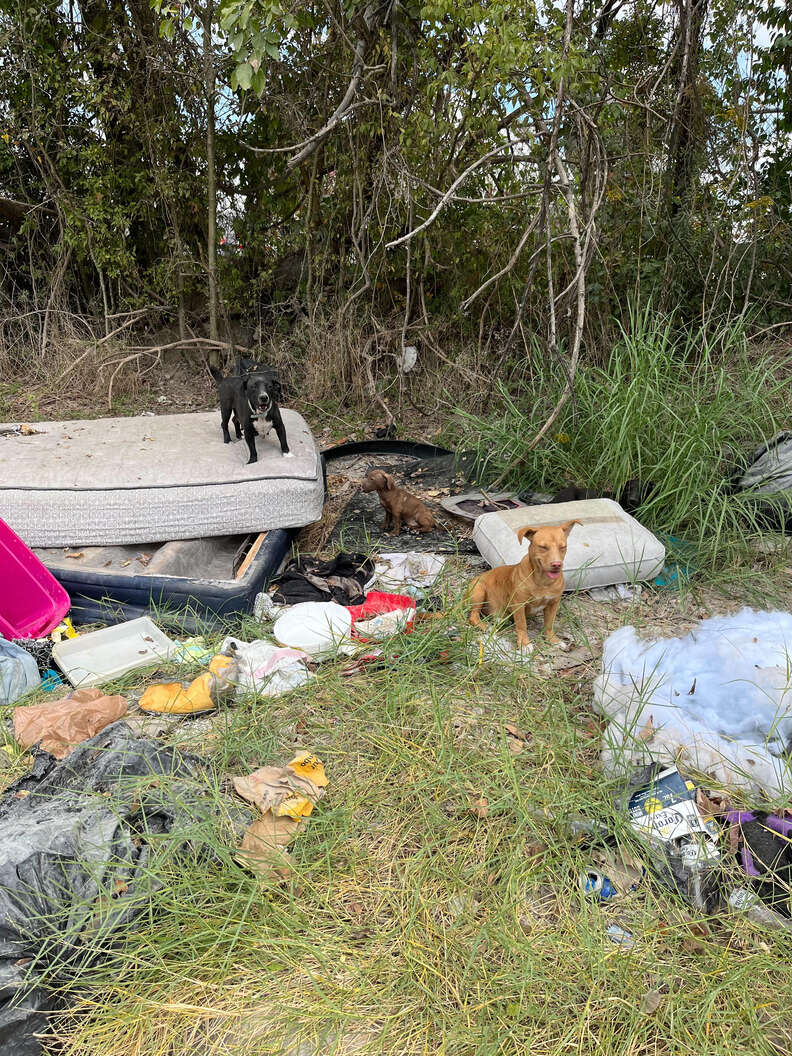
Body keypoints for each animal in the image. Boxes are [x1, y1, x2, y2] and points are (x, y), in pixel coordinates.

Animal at [464, 517, 582, 646]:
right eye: (543, 547)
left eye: (563, 547)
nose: (557, 564)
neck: (543, 581)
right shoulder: (519, 604)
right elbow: (522, 624)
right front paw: (524, 644)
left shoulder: (553, 604)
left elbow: (549, 624)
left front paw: (552, 639)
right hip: (478, 591)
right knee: (473, 616)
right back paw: (486, 626)